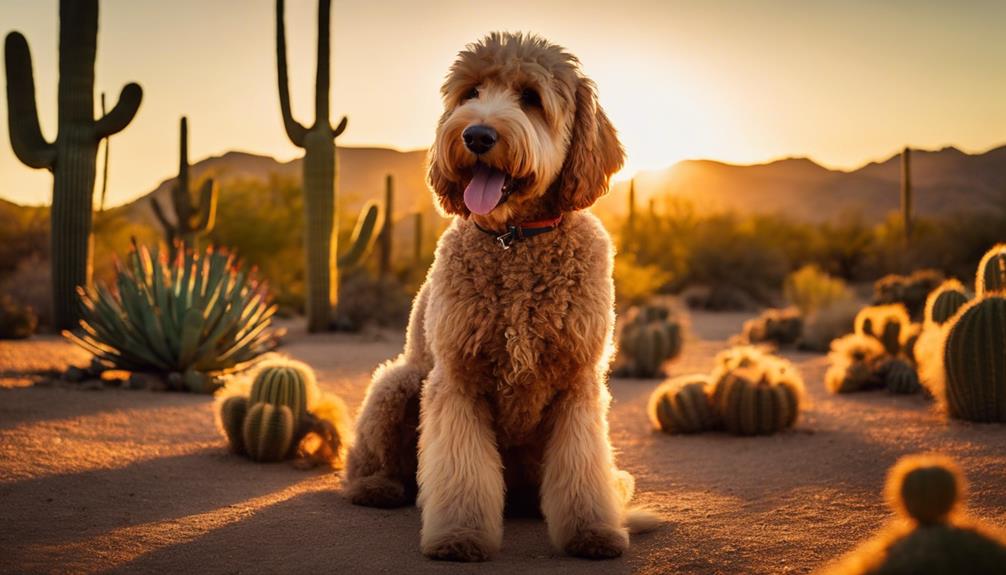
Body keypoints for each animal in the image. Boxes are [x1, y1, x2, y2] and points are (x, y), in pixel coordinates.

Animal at [342, 31, 651, 562]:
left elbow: (583, 469)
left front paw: (592, 532)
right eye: (470, 93)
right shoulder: (457, 380)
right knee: (372, 462)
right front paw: (459, 536)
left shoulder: (577, 385)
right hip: (397, 383)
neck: (515, 240)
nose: (478, 136)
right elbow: (462, 473)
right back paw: (378, 487)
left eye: (531, 97)